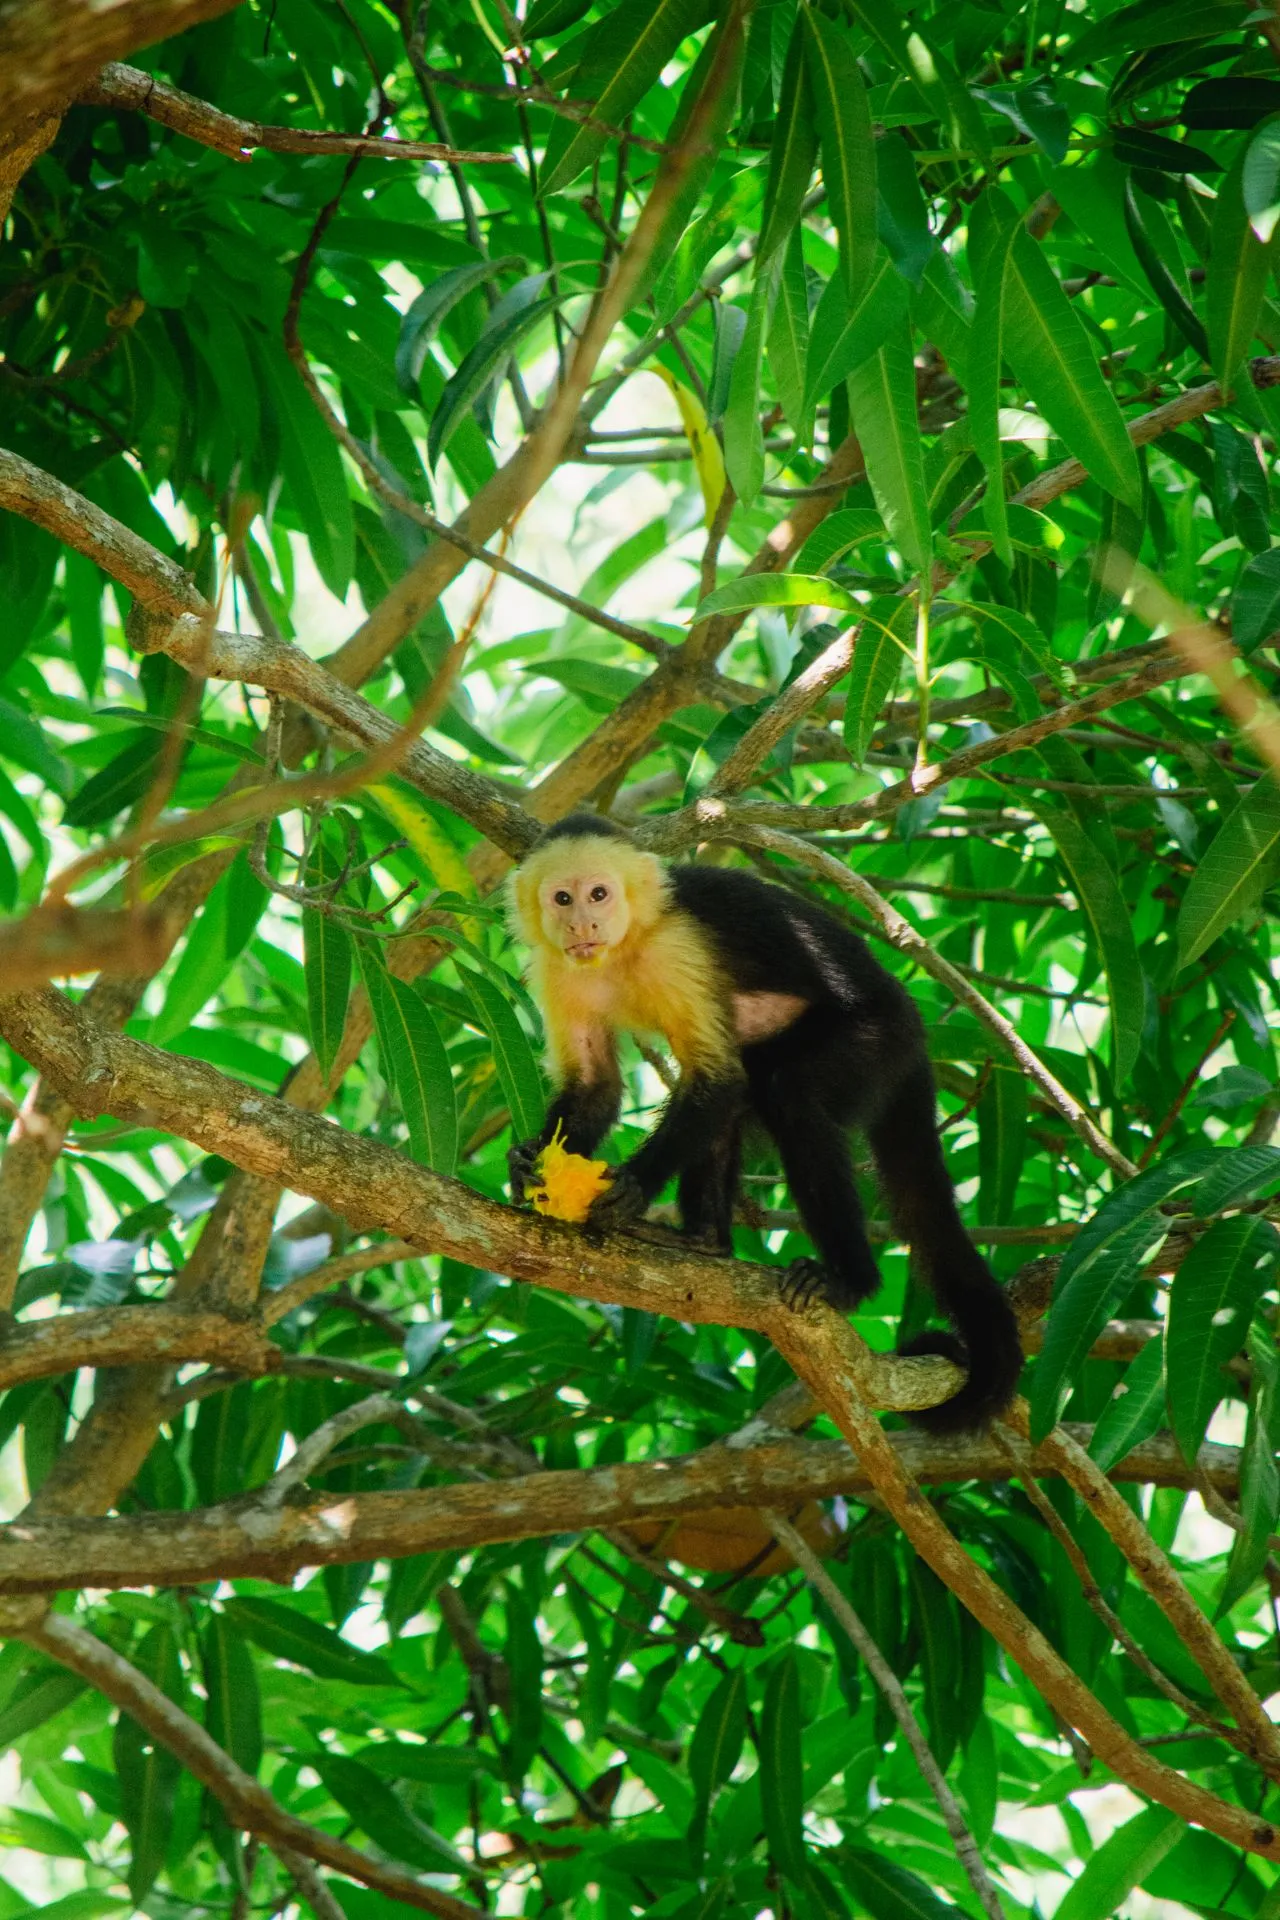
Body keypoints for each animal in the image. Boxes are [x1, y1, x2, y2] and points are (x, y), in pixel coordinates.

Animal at [507, 813, 1022, 1432]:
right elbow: (597, 1088)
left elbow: (715, 1077)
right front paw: (528, 1165)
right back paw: (705, 1242)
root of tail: (916, 1034)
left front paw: (632, 1186)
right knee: (742, 1094)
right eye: (562, 898)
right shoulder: (558, 970)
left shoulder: (677, 948)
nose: (582, 922)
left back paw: (847, 1279)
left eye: (599, 894)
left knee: (786, 1093)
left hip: (877, 1037)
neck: (624, 948)